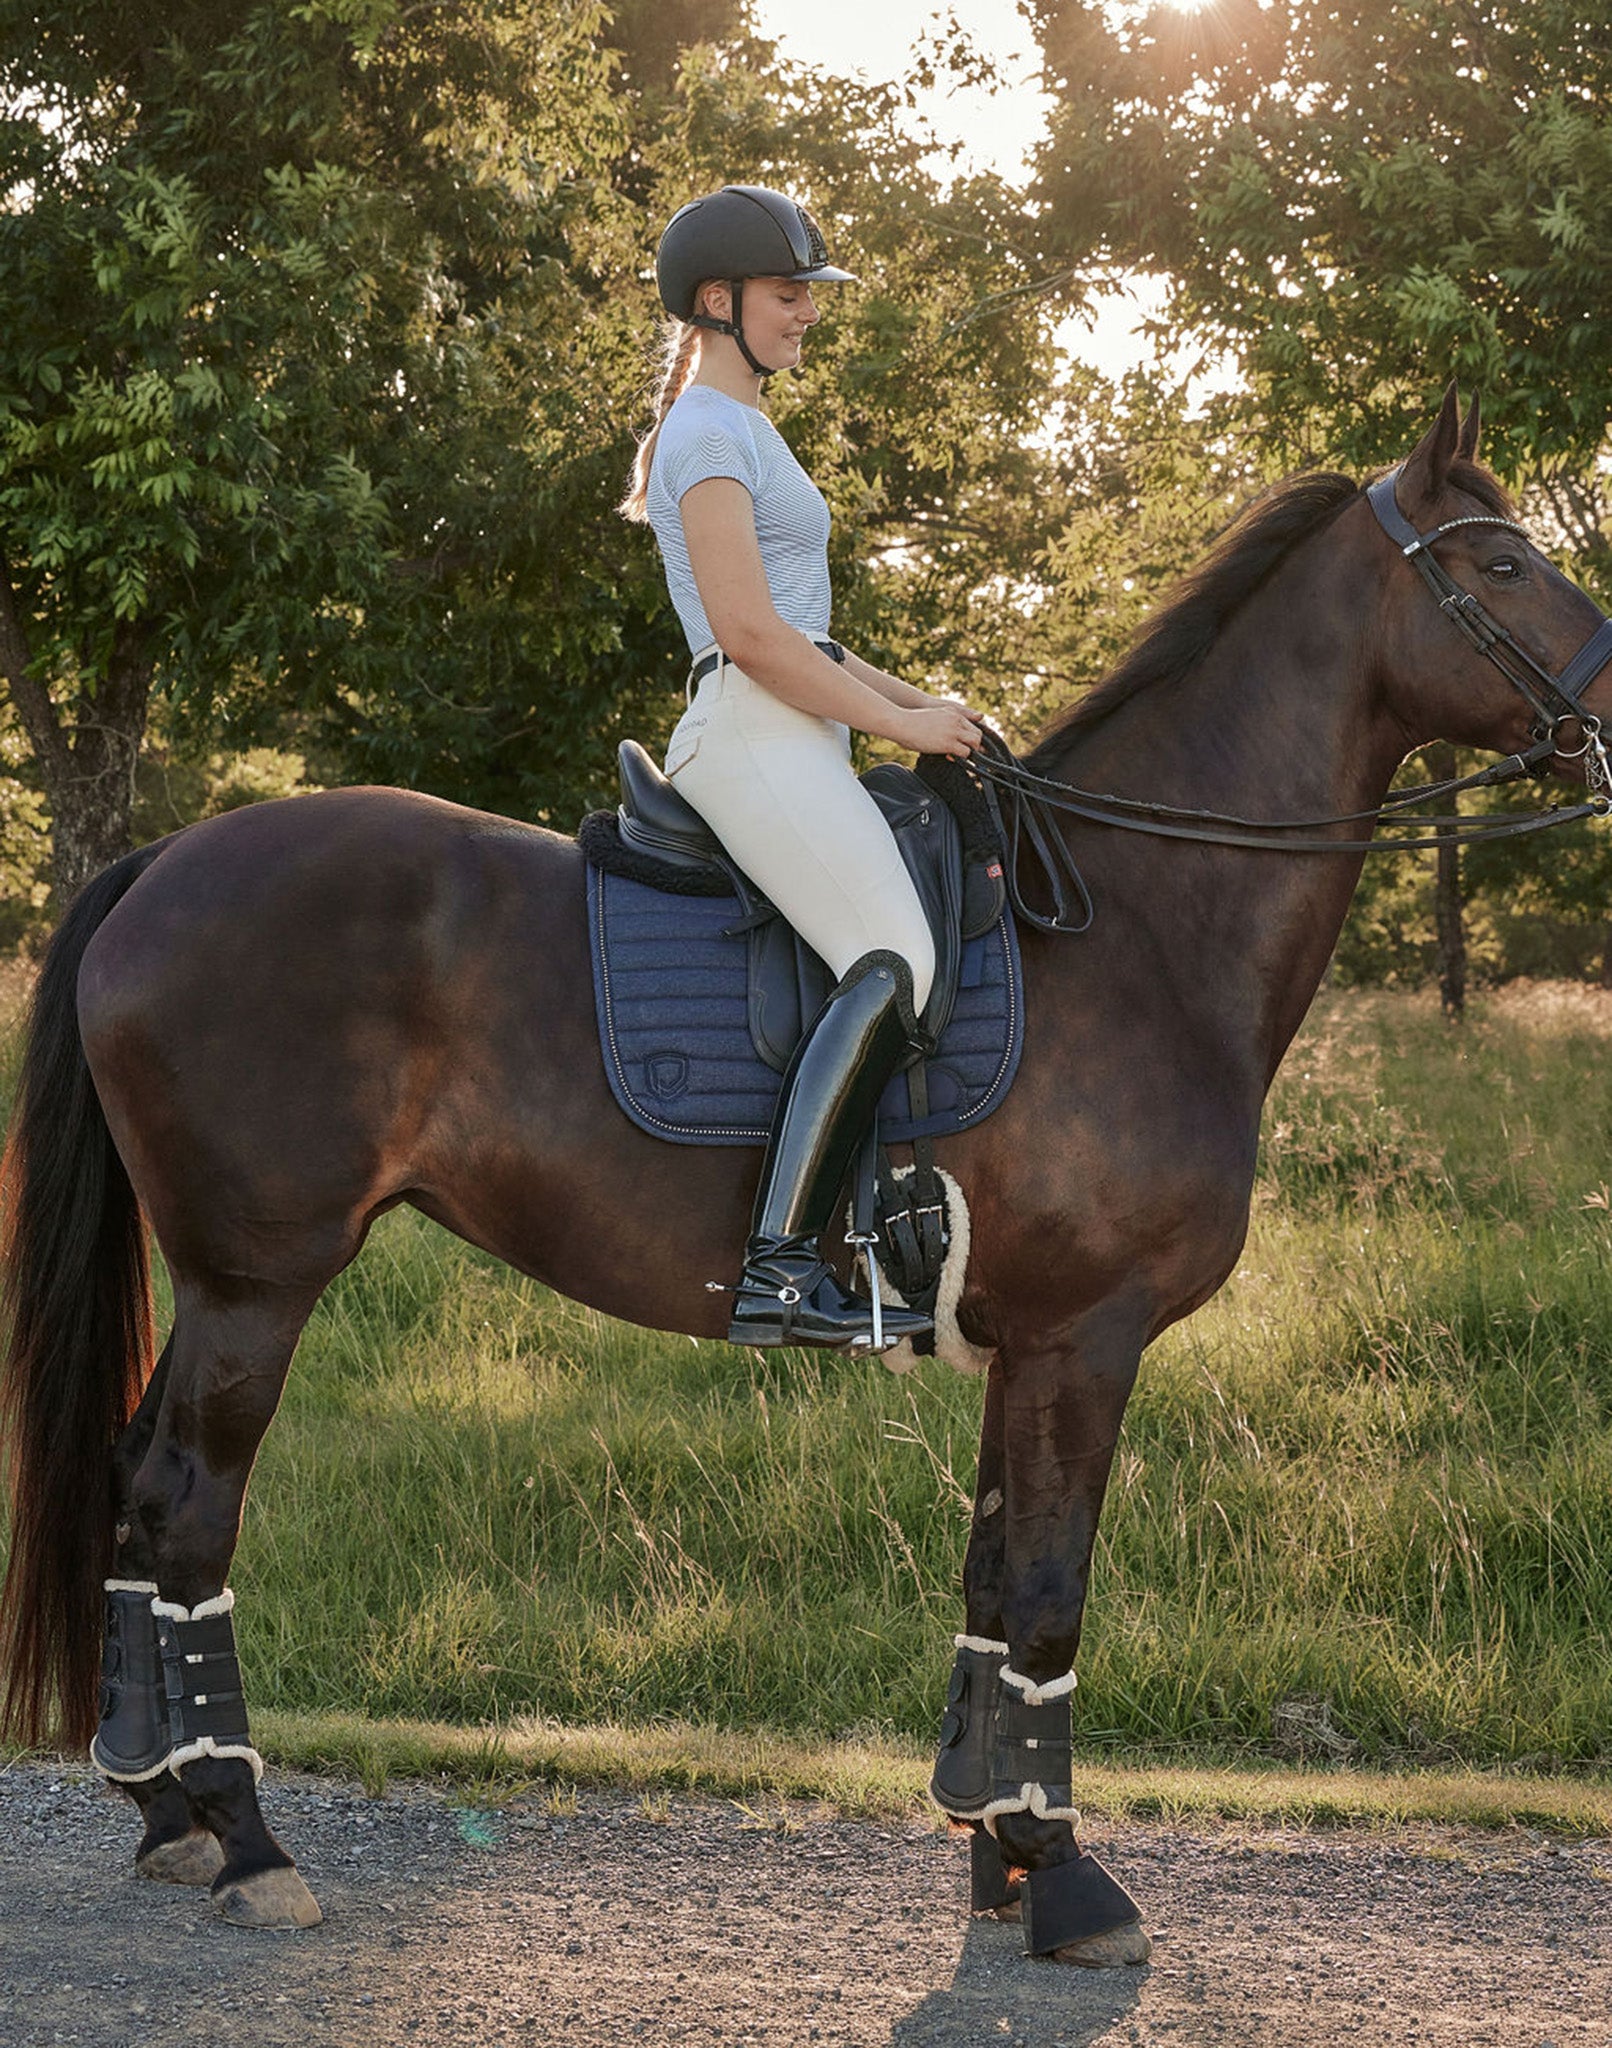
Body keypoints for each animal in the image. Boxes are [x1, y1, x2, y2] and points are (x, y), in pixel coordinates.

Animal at [3, 385, 1612, 1949]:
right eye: (1503, 563)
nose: (1609, 716)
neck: (1144, 929)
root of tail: (162, 863)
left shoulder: (1025, 1346)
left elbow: (991, 1581)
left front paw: (996, 1847)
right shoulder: (1087, 1337)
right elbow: (1049, 1598)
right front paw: (1063, 1878)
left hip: (222, 1279)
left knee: (132, 1480)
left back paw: (163, 1804)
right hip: (258, 1280)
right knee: (184, 1507)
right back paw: (245, 1836)